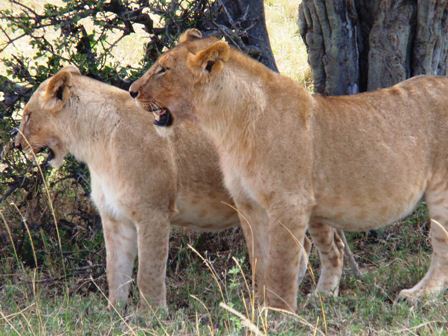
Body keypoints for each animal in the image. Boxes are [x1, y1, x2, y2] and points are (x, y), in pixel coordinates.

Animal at [129, 28, 448, 312]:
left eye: (163, 70)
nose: (132, 91)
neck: (226, 124)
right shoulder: (249, 206)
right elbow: (260, 262)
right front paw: (258, 308)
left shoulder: (288, 204)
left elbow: (281, 265)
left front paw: (280, 313)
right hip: (319, 209)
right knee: (334, 252)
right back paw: (321, 297)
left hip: (441, 192)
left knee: (441, 249)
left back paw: (419, 296)